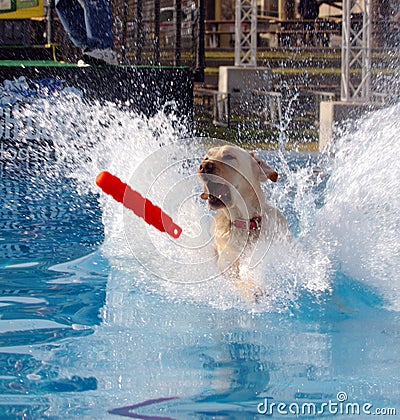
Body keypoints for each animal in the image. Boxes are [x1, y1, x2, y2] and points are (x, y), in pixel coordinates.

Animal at [198, 146, 290, 300]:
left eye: (229, 156)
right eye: (206, 157)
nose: (204, 166)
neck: (247, 223)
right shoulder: (226, 265)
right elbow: (237, 279)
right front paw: (252, 288)